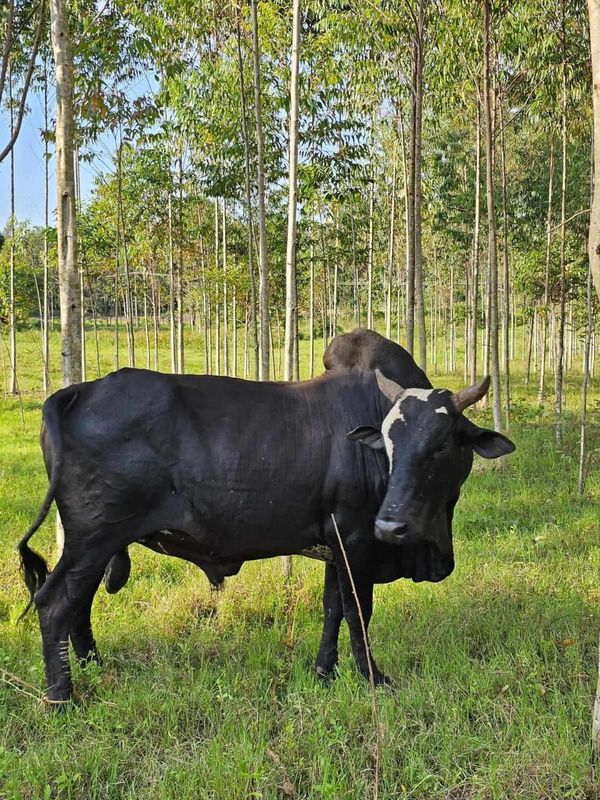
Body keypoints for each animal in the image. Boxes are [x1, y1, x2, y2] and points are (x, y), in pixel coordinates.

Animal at [18, 329, 515, 704]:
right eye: (391, 444)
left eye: (442, 444)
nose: (390, 526)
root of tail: (76, 391)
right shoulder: (356, 539)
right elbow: (359, 611)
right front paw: (374, 677)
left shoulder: (335, 542)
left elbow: (333, 608)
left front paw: (323, 671)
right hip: (94, 535)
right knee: (55, 602)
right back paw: (63, 696)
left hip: (96, 542)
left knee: (78, 604)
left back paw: (96, 668)